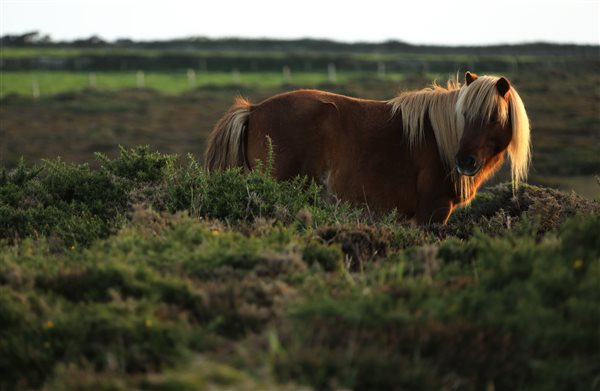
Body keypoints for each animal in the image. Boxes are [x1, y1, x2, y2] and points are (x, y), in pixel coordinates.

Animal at [203, 72, 528, 225]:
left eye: (494, 117)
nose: (464, 162)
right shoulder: (432, 212)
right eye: (464, 115)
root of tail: (254, 109)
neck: (439, 137)